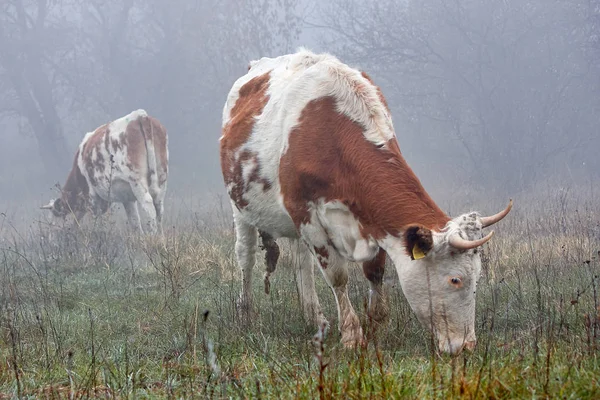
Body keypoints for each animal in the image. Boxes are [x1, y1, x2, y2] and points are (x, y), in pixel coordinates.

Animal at [219, 49, 510, 354]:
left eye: (477, 277)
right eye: (455, 279)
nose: (467, 345)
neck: (330, 136)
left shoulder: (372, 220)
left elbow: (375, 271)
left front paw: (376, 323)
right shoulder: (307, 215)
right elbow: (337, 275)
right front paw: (351, 334)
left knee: (302, 262)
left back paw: (315, 317)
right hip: (241, 207)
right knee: (246, 257)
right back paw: (246, 313)